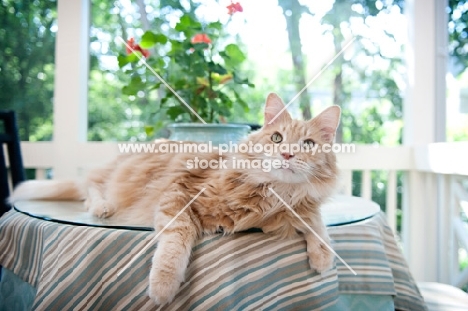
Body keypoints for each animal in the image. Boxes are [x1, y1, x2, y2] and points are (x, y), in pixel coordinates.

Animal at [8, 93, 340, 308]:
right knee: (91, 186)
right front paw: (163, 286)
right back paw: (103, 207)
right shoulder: (180, 192)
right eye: (276, 138)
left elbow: (316, 222)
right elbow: (177, 240)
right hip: (114, 176)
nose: (287, 154)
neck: (274, 194)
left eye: (307, 144)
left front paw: (323, 256)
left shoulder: (300, 207)